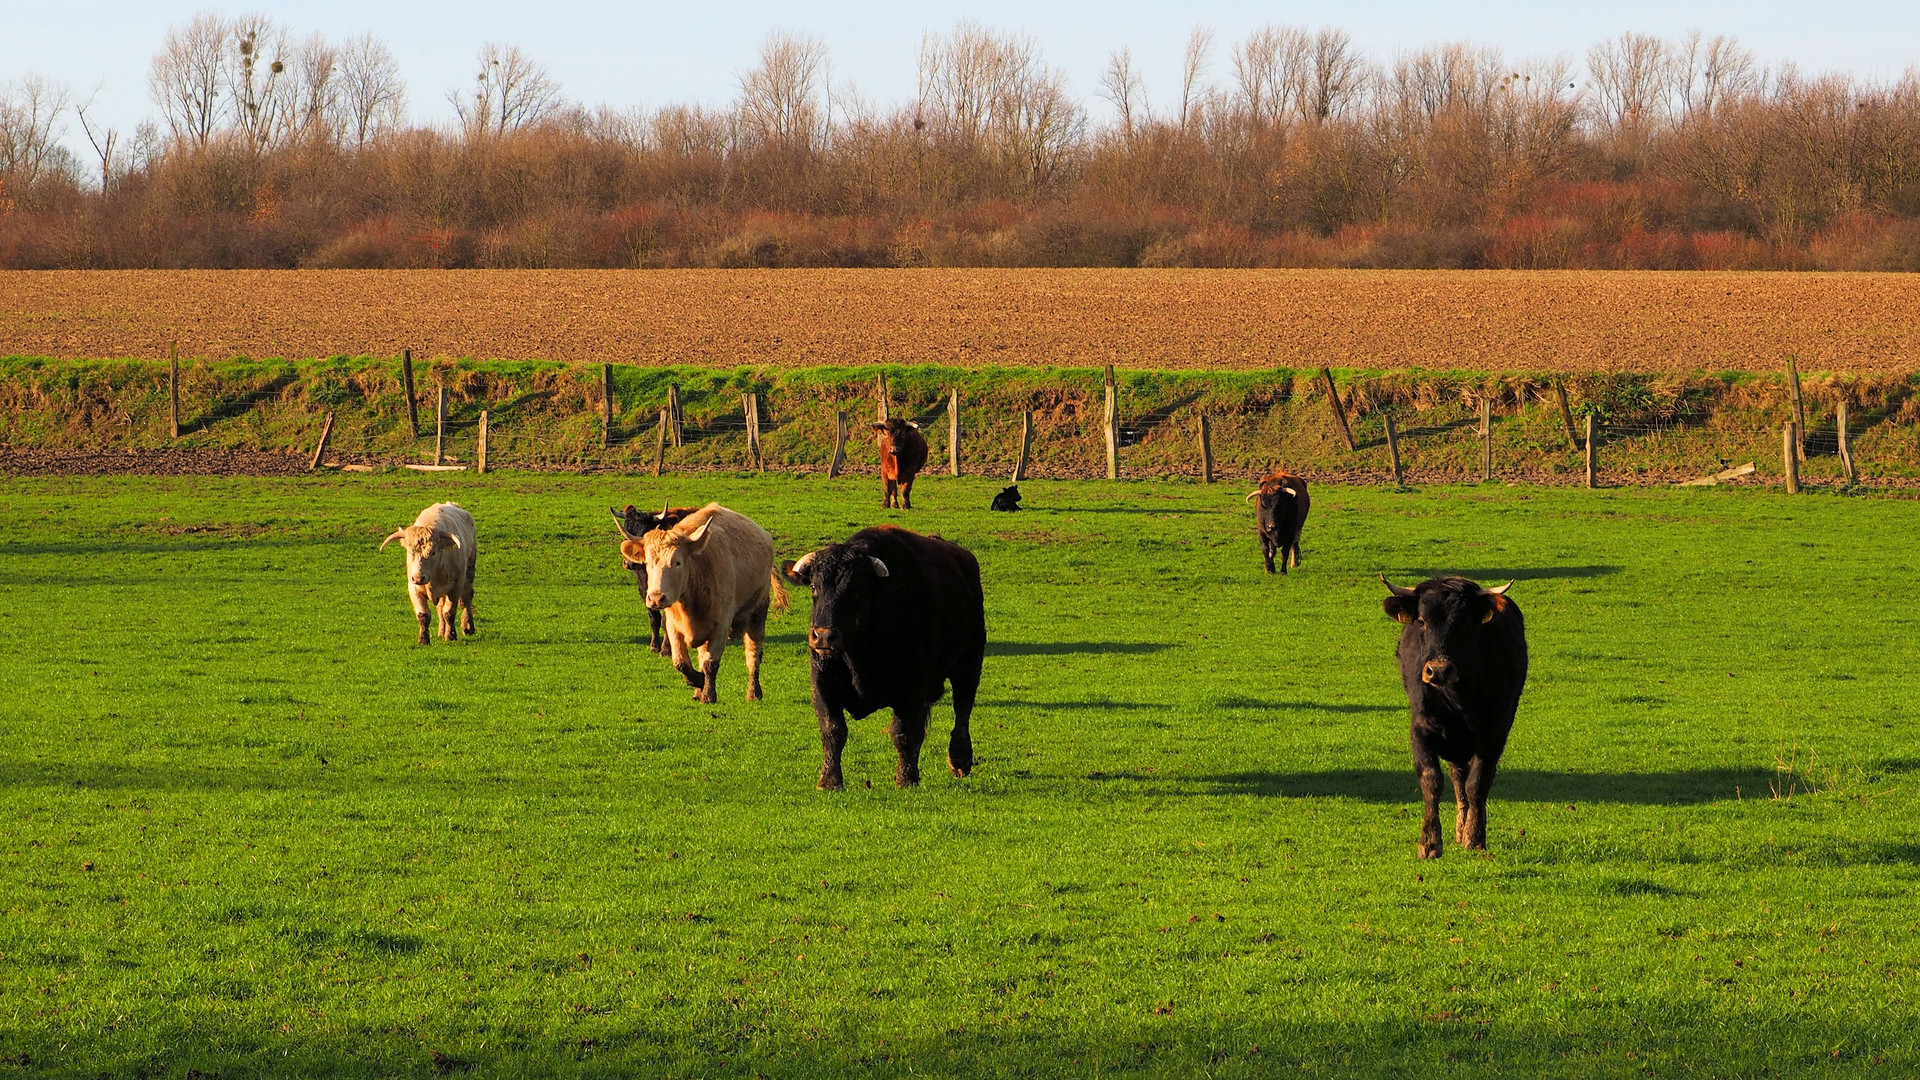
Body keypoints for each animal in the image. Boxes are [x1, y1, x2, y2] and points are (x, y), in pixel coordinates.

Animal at [378, 499, 476, 641]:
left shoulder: (455, 586)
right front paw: (423, 639)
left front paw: (451, 636)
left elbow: (449, 612)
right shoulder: (413, 588)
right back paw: (441, 631)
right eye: (409, 551)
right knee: (440, 607)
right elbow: (423, 614)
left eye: (433, 552)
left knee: (466, 599)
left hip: (469, 571)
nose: (419, 578)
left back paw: (468, 627)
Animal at [622, 499, 787, 703]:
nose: (656, 598)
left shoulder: (721, 625)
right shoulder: (674, 625)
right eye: (648, 562)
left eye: (677, 562)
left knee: (753, 655)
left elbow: (710, 662)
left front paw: (708, 694)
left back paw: (754, 692)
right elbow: (681, 662)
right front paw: (699, 683)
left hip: (758, 613)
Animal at [783, 526, 990, 787]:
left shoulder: (913, 686)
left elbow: (904, 732)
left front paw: (906, 779)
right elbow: (833, 729)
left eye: (856, 589)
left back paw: (960, 759)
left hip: (969, 664)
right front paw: (830, 780)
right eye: (814, 587)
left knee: (962, 709)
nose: (823, 636)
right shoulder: (822, 681)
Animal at [1382, 572, 1528, 857]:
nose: (1438, 670)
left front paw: (1475, 838)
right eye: (1422, 621)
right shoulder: (1421, 728)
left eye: (1463, 624)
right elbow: (1432, 780)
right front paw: (1429, 842)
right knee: (1458, 778)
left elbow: (1478, 784)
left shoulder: (1493, 733)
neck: (1456, 702)